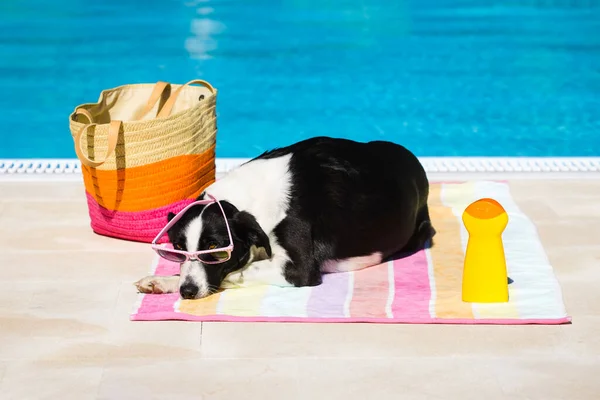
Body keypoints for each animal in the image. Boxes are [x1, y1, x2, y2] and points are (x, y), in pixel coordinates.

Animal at [136, 136, 436, 298]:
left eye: (215, 249)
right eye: (177, 249)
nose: (187, 292)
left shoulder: (299, 269)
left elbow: (234, 272)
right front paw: (163, 281)